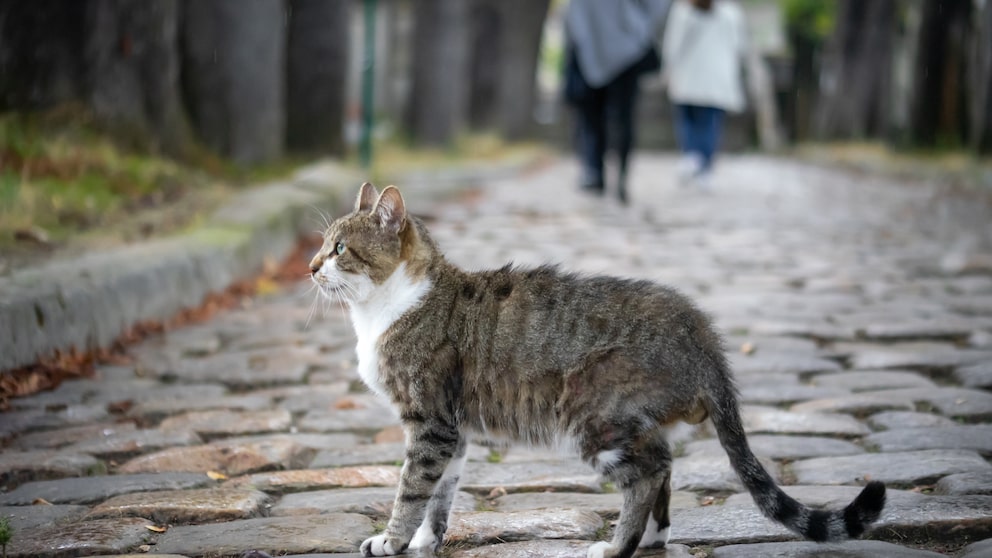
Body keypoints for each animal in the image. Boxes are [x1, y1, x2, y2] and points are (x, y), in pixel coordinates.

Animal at [308, 185, 884, 558]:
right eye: (320, 246)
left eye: (339, 249)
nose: (311, 267)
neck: (388, 306)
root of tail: (703, 337)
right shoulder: (455, 429)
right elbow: (439, 494)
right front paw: (426, 541)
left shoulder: (430, 422)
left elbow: (412, 488)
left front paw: (392, 540)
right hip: (631, 422)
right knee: (664, 463)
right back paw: (651, 537)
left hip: (593, 416)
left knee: (649, 472)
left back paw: (618, 546)